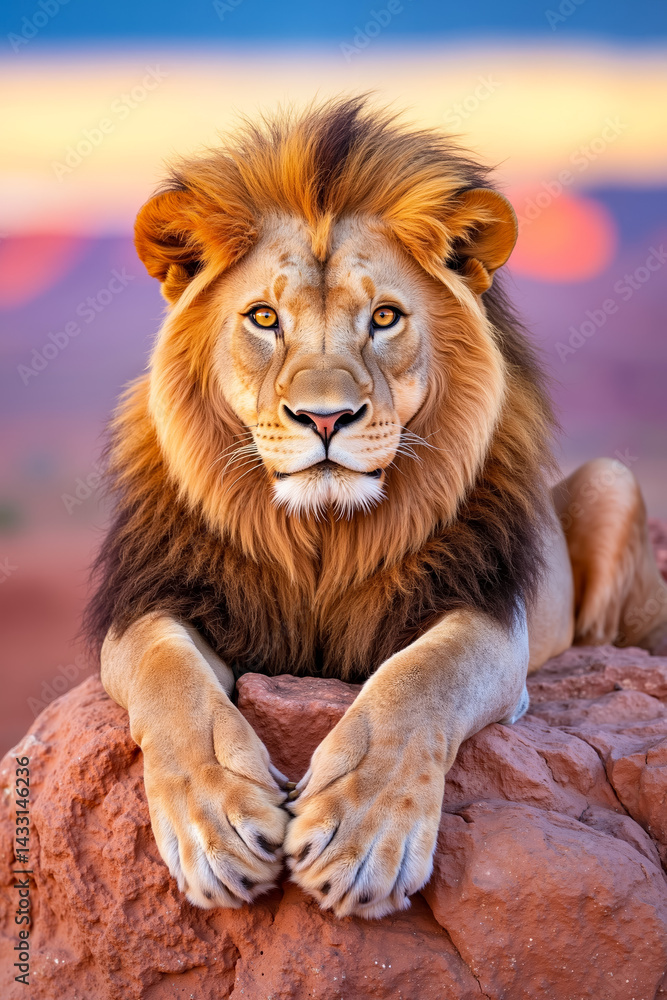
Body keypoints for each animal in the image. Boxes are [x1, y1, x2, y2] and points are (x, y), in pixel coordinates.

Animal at [87, 97, 667, 920]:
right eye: (264, 318)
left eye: (385, 318)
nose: (325, 418)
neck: (322, 537)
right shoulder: (152, 601)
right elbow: (171, 684)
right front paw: (217, 830)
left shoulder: (489, 616)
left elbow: (418, 681)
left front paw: (358, 841)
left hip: (611, 483)